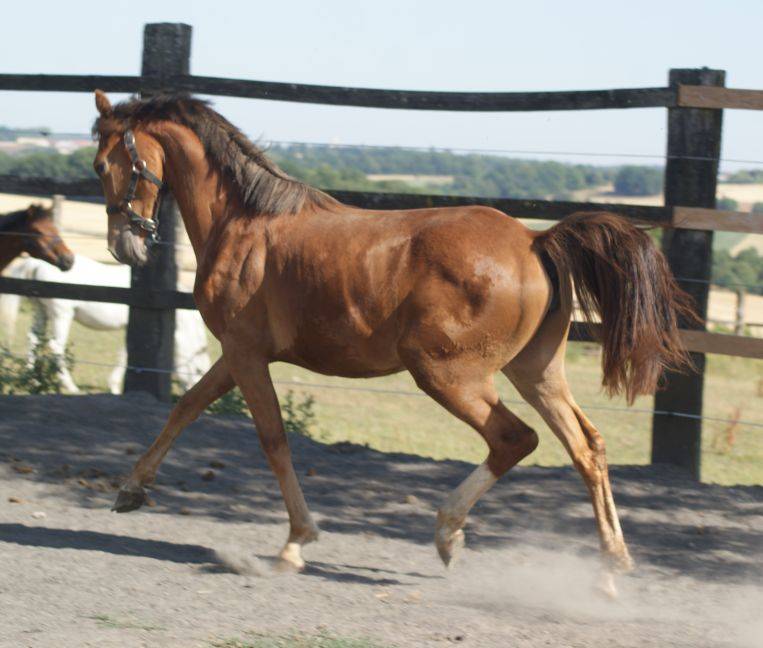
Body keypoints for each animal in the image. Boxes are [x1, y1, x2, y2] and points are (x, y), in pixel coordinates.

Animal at [0, 255, 211, 393]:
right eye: (199, 371)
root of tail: (35, 262)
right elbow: (124, 356)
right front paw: (115, 387)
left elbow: (124, 354)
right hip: (61, 314)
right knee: (55, 346)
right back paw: (71, 387)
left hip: (41, 311)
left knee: (34, 340)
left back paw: (33, 380)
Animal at [91, 90, 694, 593]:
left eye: (101, 164)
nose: (125, 246)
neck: (243, 225)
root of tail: (535, 239)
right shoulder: (237, 355)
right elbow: (186, 407)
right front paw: (131, 490)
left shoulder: (245, 353)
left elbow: (272, 440)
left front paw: (295, 544)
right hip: (535, 371)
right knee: (587, 447)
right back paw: (609, 570)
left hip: (447, 373)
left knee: (514, 440)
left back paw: (449, 535)